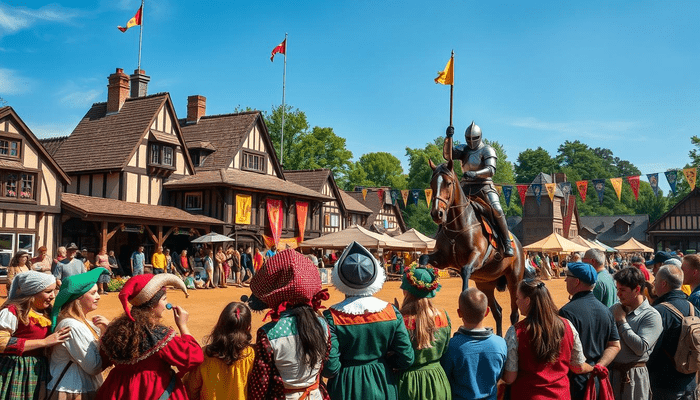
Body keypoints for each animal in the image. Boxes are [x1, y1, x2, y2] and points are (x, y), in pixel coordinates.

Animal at [422, 159, 524, 334]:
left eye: (448, 183)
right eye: (432, 183)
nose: (437, 214)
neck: (458, 224)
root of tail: (518, 243)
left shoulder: (476, 258)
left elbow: (465, 271)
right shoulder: (442, 259)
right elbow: (424, 257)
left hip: (514, 280)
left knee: (514, 314)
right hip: (485, 283)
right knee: (498, 312)